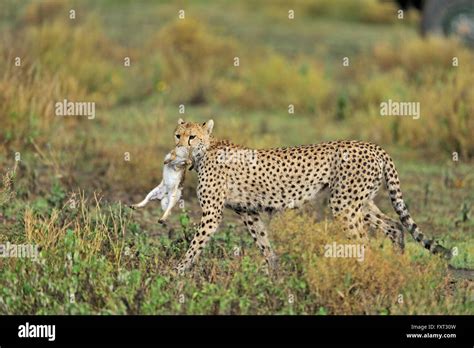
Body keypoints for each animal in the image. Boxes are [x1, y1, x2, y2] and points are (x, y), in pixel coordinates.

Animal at [171, 119, 452, 274]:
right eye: (177, 135)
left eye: (192, 136)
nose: (178, 147)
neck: (206, 149)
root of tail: (374, 146)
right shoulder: (248, 212)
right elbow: (264, 242)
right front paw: (272, 272)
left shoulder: (212, 214)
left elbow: (195, 244)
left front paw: (178, 271)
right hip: (360, 202)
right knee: (395, 226)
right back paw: (397, 263)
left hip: (343, 205)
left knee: (365, 242)